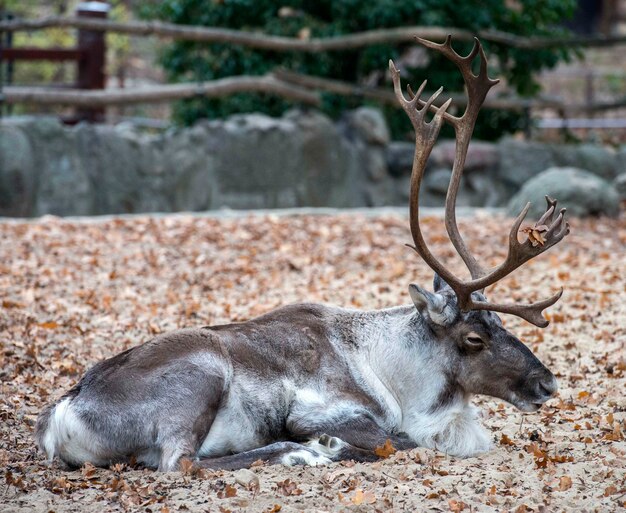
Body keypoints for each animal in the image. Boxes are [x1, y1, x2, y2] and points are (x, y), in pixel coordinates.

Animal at [36, 36, 568, 470]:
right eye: (473, 338)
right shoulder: (321, 411)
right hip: (200, 376)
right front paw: (328, 446)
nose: (548, 384)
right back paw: (302, 454)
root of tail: (59, 417)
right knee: (180, 463)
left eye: (499, 323)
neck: (396, 377)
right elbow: (397, 441)